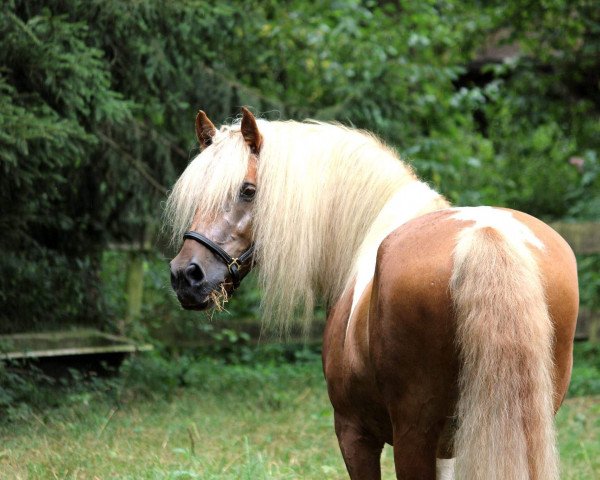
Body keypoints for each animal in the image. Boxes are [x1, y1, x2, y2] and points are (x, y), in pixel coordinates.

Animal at [166, 109, 580, 480]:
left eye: (248, 191)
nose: (186, 274)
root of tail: (486, 234)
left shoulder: (354, 433)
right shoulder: (448, 454)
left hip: (414, 437)